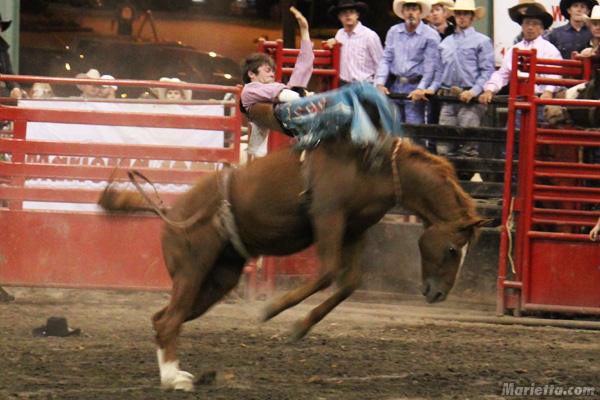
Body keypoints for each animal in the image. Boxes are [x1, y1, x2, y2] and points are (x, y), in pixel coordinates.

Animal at [98, 134, 490, 390]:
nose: (438, 294)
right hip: (193, 269)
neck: (376, 167)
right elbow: (329, 273)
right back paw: (174, 380)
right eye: (452, 250)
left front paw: (301, 326)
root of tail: (171, 210)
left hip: (218, 279)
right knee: (169, 321)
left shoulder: (354, 229)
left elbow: (349, 282)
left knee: (162, 319)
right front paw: (271, 309)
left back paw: (175, 374)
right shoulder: (328, 217)